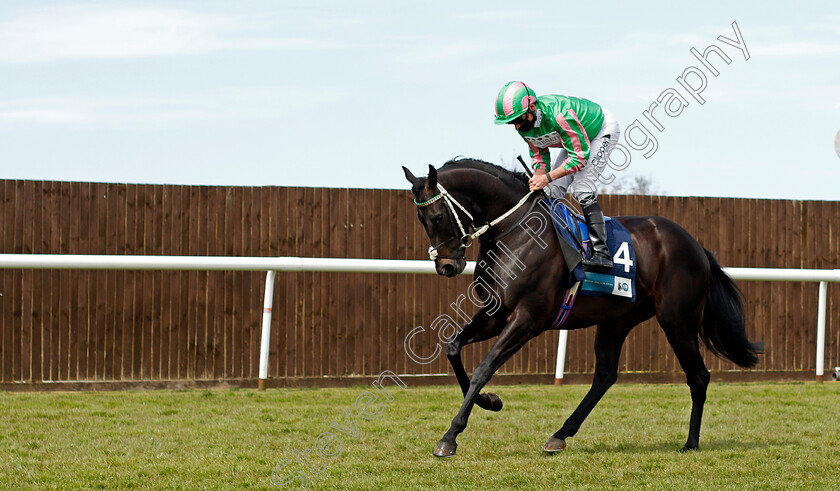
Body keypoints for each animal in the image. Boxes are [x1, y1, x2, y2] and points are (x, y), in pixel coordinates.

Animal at [400, 160, 760, 460]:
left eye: (437, 217)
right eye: (421, 220)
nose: (447, 266)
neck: (516, 232)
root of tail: (696, 245)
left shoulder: (527, 319)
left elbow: (483, 368)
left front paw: (450, 437)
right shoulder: (494, 315)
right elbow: (453, 348)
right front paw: (490, 401)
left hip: (677, 321)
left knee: (698, 375)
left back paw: (690, 443)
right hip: (617, 321)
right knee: (605, 376)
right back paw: (560, 435)